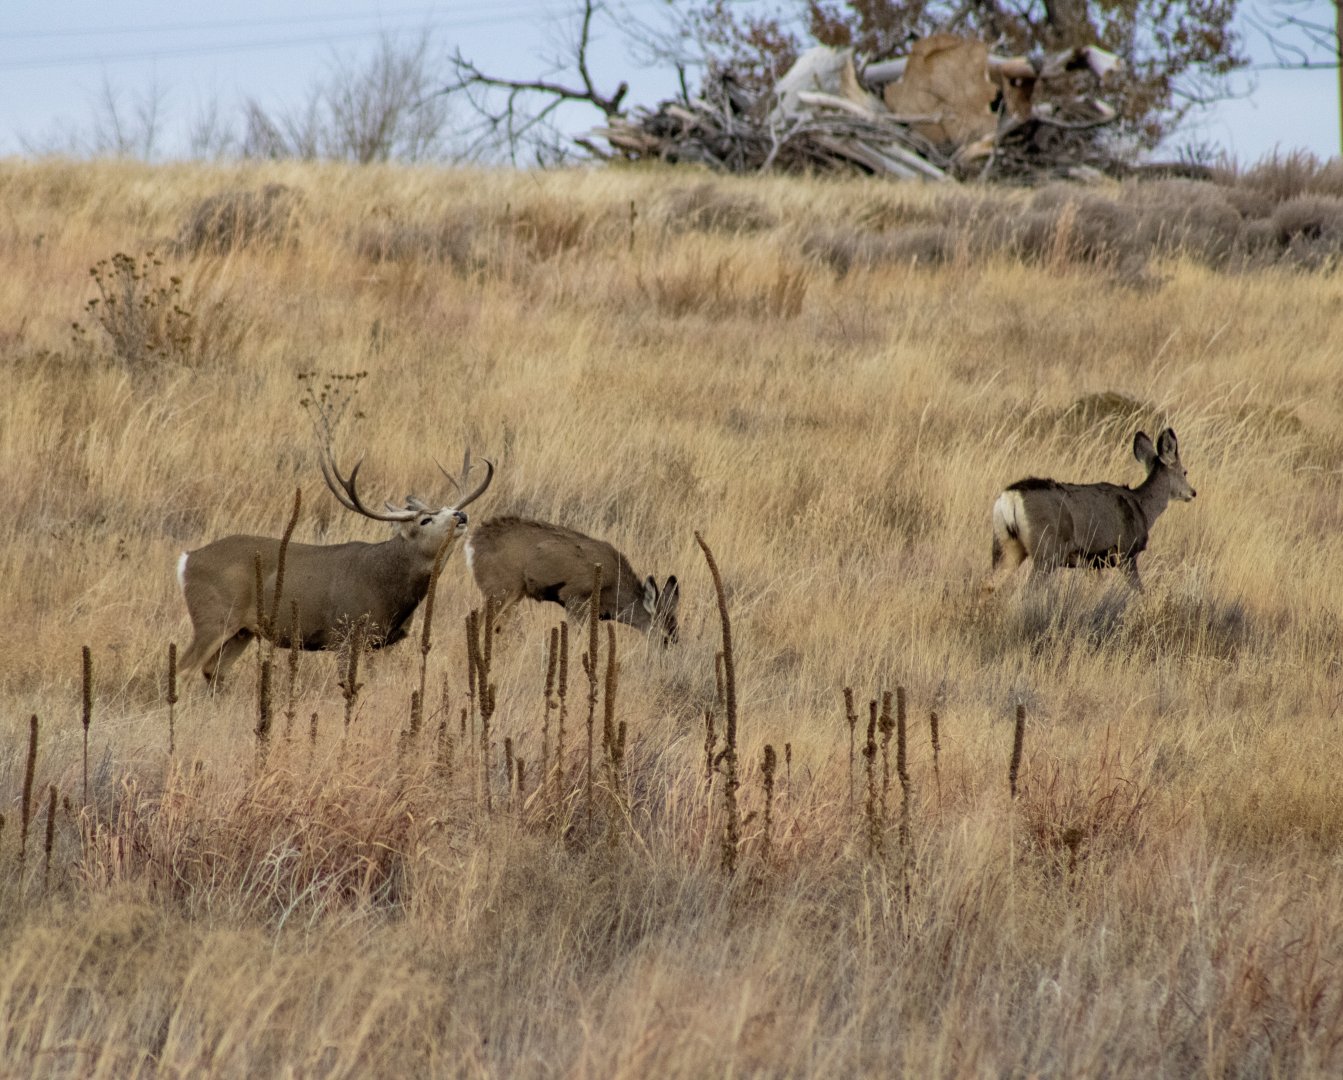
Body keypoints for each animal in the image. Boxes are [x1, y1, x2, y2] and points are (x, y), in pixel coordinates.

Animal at [177, 448, 493, 685]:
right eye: (425, 520)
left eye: (450, 508)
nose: (461, 515)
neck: (386, 583)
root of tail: (187, 560)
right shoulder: (344, 633)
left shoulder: (381, 643)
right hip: (213, 616)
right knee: (184, 669)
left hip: (242, 631)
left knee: (212, 671)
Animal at [985, 427, 1196, 594]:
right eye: (1185, 471)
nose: (1192, 492)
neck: (1142, 506)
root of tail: (1010, 497)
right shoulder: (1125, 552)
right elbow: (1139, 591)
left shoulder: (1092, 563)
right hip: (1047, 550)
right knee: (1027, 591)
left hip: (1006, 546)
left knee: (988, 586)